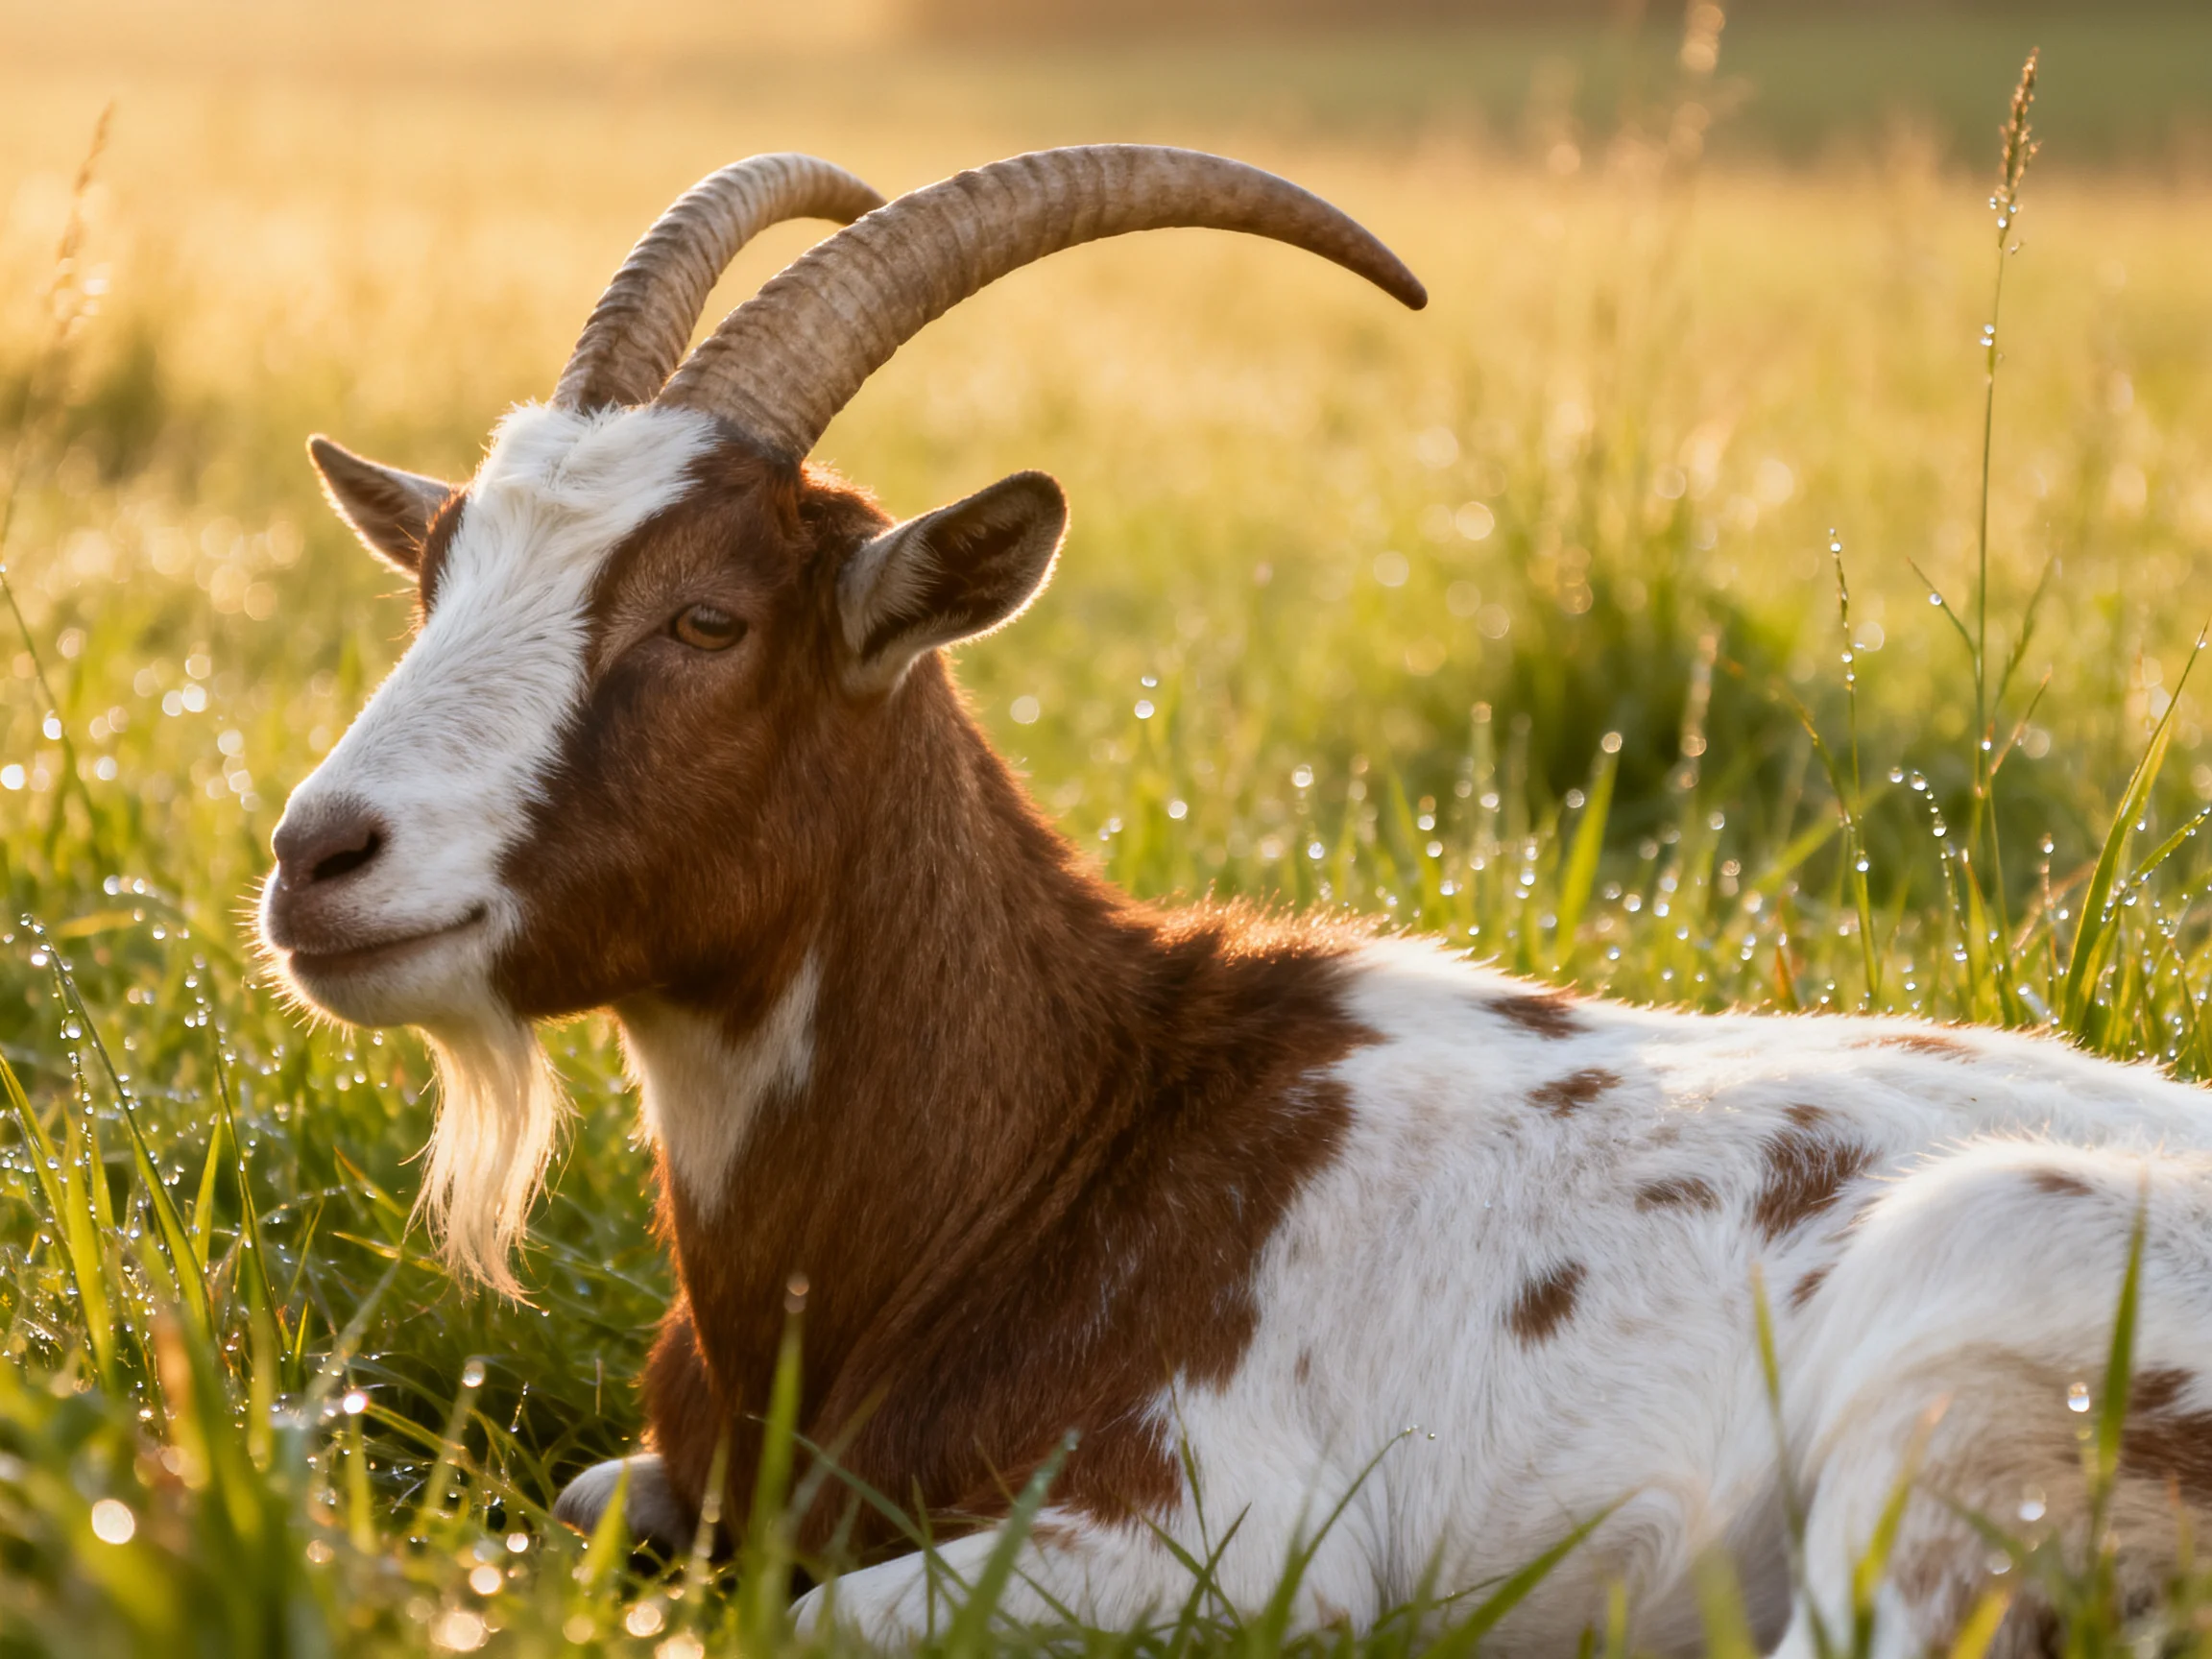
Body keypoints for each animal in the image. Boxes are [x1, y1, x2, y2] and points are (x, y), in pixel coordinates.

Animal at [261, 147, 2212, 1656]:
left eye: (705, 617)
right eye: (438, 573)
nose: (315, 855)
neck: (1060, 1140)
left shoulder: (1196, 1537)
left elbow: (789, 1616)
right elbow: (590, 1499)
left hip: (1958, 1325)